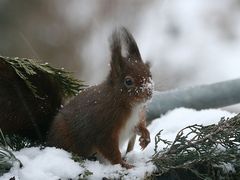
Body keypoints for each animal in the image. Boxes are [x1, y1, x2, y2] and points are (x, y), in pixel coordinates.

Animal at [47, 27, 154, 169]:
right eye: (128, 81)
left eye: (150, 75)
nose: (149, 92)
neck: (130, 105)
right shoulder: (104, 126)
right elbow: (110, 149)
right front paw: (124, 164)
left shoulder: (137, 118)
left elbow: (138, 127)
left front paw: (145, 136)